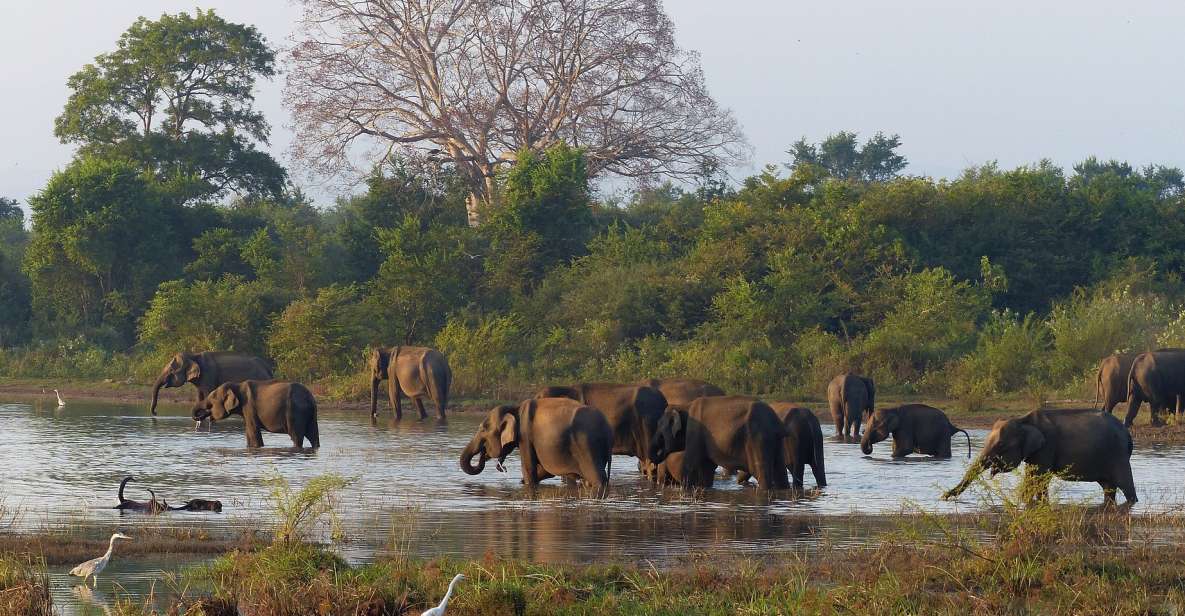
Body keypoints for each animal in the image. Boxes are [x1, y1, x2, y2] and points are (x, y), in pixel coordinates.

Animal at [649, 395, 786, 490]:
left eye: (660, 431)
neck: (684, 406)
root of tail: (775, 421)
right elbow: (706, 469)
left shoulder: (694, 432)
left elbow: (691, 465)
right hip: (776, 441)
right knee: (780, 471)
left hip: (758, 439)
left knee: (762, 472)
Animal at [943, 407, 1137, 507]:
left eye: (1001, 445)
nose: (944, 496)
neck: (1023, 420)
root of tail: (1127, 433)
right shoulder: (1035, 451)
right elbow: (1032, 476)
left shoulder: (1047, 446)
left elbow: (1039, 477)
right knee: (1108, 487)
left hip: (1117, 455)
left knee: (1125, 483)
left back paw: (1132, 502)